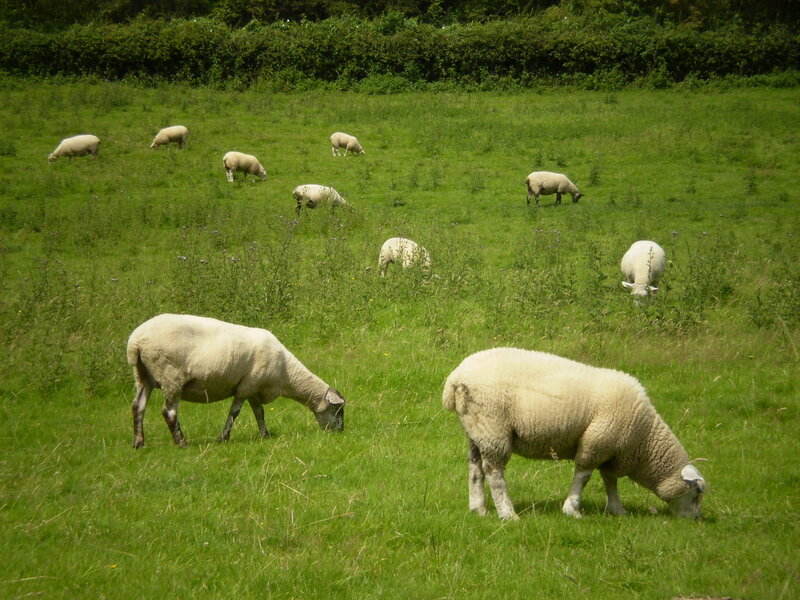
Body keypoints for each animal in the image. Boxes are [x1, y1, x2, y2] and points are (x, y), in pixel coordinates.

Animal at [126, 313, 345, 449]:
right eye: (337, 410)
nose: (340, 432)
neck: (286, 374)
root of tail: (136, 341)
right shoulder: (246, 387)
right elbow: (235, 412)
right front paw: (223, 437)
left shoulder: (254, 388)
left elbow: (259, 413)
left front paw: (265, 435)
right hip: (171, 377)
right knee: (169, 412)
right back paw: (182, 443)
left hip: (143, 376)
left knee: (138, 406)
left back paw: (139, 442)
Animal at [442, 347, 706, 521]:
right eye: (696, 494)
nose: (696, 519)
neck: (645, 440)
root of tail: (455, 378)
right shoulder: (597, 442)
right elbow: (584, 475)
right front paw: (572, 509)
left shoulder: (611, 448)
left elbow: (610, 479)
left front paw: (617, 509)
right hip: (493, 428)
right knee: (494, 473)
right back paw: (507, 514)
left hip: (477, 429)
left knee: (475, 468)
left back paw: (479, 508)